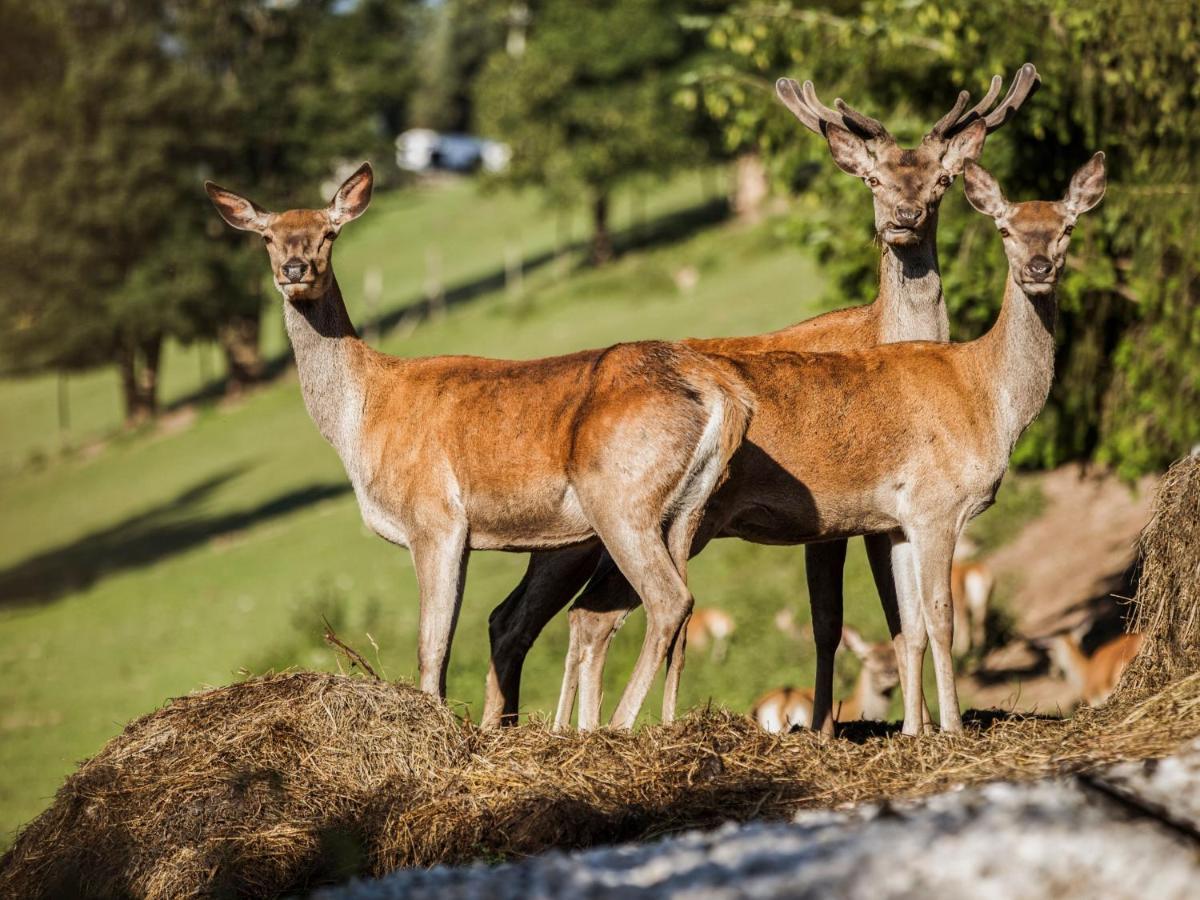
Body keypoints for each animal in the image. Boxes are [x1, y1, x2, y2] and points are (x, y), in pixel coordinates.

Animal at [205, 168, 748, 705]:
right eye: (268, 237)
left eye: (329, 232)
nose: (295, 269)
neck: (360, 419)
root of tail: (724, 394)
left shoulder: (433, 517)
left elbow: (431, 649)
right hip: (688, 509)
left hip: (620, 498)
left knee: (667, 599)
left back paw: (618, 720)